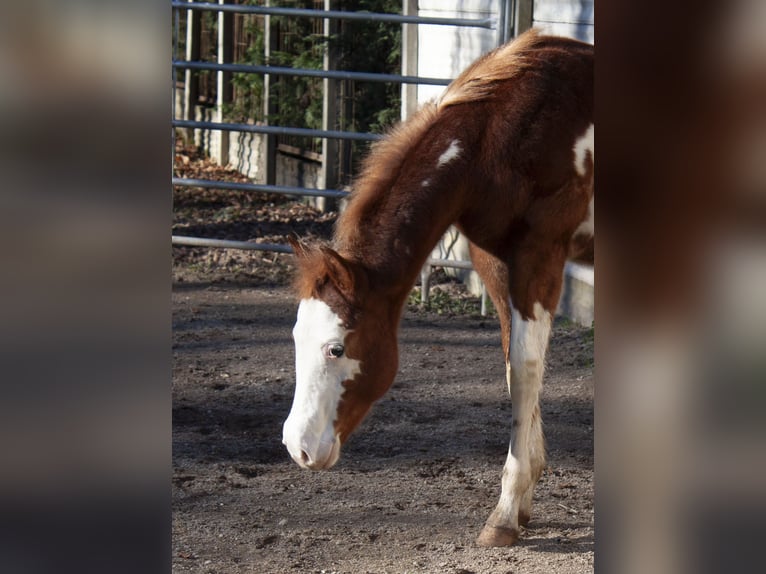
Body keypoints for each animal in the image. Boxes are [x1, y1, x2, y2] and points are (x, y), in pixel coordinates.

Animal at [284, 30, 596, 548]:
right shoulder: (495, 259)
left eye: (335, 349)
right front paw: (524, 500)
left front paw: (503, 515)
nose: (298, 447)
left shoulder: (541, 252)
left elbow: (527, 368)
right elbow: (514, 368)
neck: (496, 138)